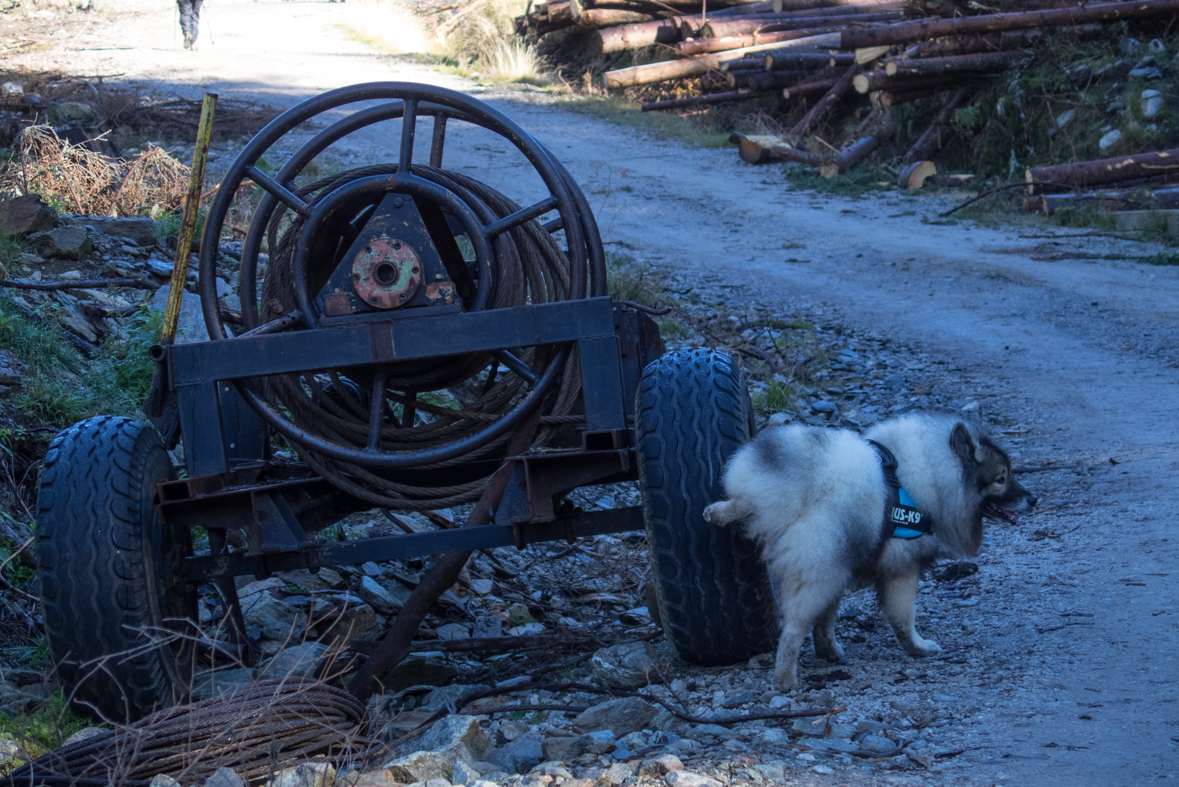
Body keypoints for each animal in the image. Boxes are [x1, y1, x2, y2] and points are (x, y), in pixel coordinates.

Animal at [702, 412, 1037, 688]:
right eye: (1001, 479)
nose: (1033, 499)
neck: (931, 479)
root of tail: (800, 486)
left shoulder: (846, 566)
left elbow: (827, 619)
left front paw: (829, 650)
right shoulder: (902, 570)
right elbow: (903, 618)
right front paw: (919, 647)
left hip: (829, 565)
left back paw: (717, 512)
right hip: (819, 572)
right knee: (793, 630)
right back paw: (785, 680)